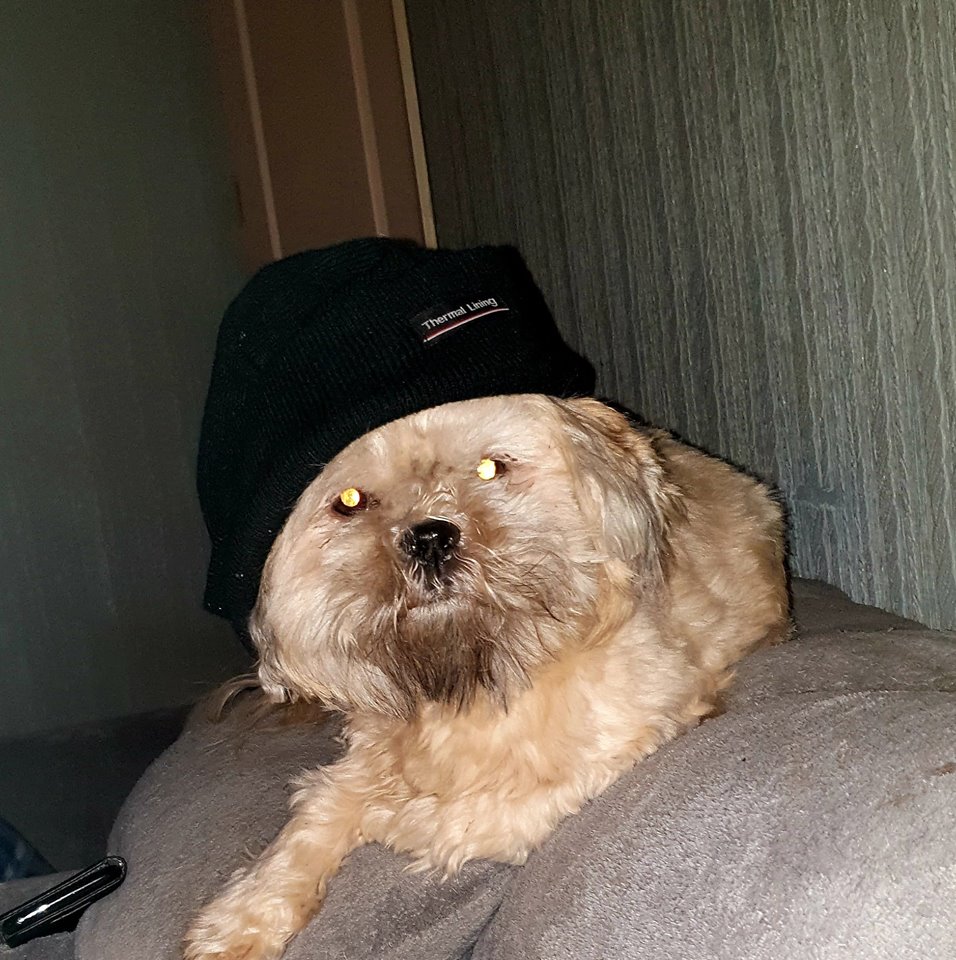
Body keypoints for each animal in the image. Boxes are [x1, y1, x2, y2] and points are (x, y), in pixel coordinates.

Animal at [183, 388, 788, 952]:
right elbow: (314, 815)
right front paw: (239, 919)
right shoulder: (361, 758)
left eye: (491, 469)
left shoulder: (634, 735)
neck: (474, 676)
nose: (428, 536)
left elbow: (469, 821)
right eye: (350, 500)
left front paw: (395, 817)